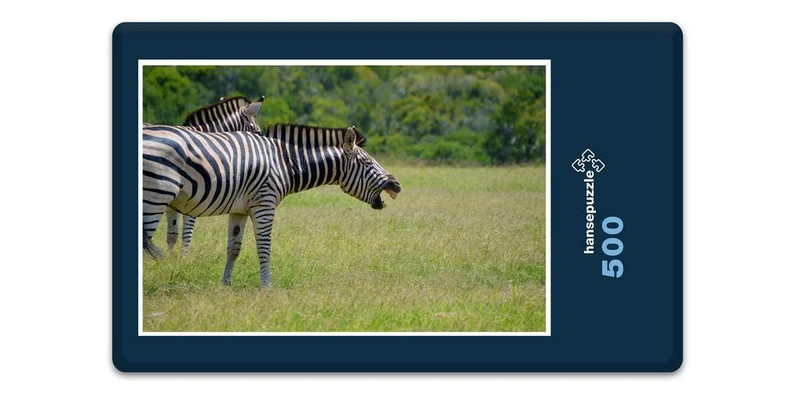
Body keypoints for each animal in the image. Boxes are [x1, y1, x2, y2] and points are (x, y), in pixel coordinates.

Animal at [142, 124, 401, 287]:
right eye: (367, 162)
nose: (397, 184)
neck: (285, 162)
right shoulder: (264, 204)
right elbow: (264, 248)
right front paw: (267, 286)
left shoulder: (239, 209)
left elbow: (233, 249)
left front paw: (225, 285)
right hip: (157, 193)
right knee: (145, 240)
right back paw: (165, 266)